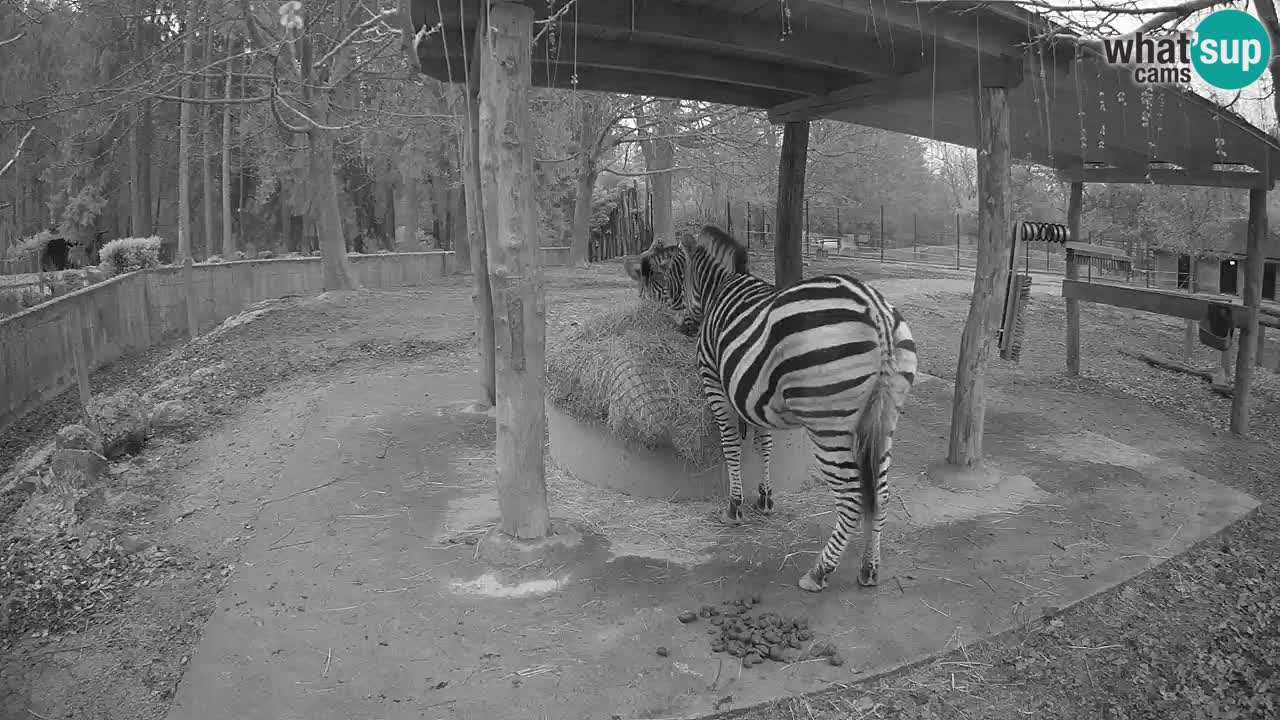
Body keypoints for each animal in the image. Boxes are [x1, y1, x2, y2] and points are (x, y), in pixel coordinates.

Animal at [624, 226, 916, 591]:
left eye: (654, 282)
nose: (684, 328)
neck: (718, 286)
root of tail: (875, 309)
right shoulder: (753, 391)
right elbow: (764, 443)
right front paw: (764, 498)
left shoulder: (715, 381)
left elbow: (731, 445)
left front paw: (734, 507)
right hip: (885, 417)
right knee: (881, 492)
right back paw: (869, 568)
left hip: (829, 424)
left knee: (852, 497)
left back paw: (820, 571)